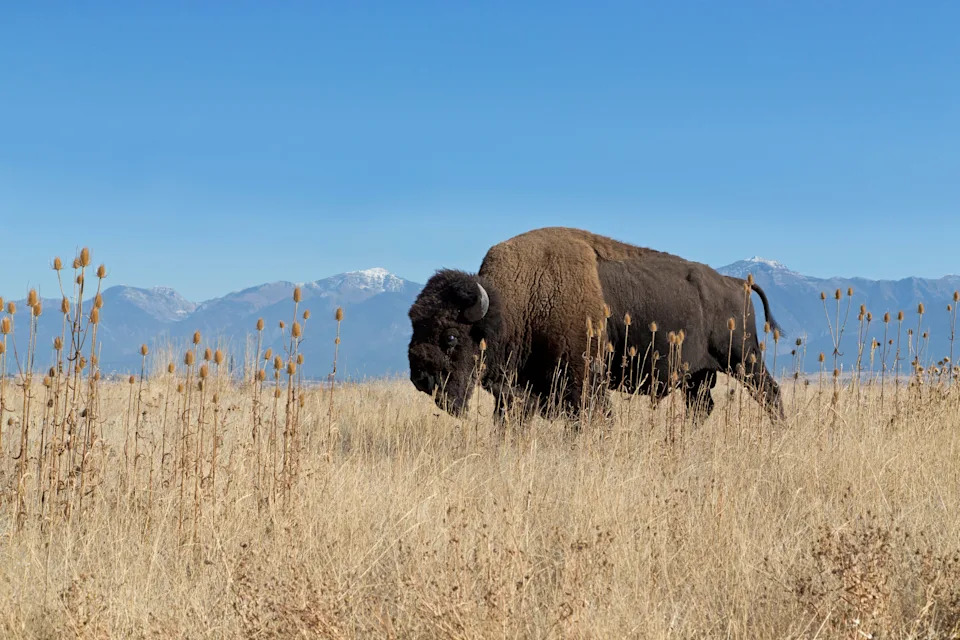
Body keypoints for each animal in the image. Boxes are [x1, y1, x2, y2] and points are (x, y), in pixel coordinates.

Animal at [408, 227, 783, 423]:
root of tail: (737, 282)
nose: (421, 379)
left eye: (451, 335)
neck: (520, 300)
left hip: (744, 360)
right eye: (414, 327)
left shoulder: (583, 379)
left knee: (771, 393)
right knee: (702, 408)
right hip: (700, 376)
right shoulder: (518, 390)